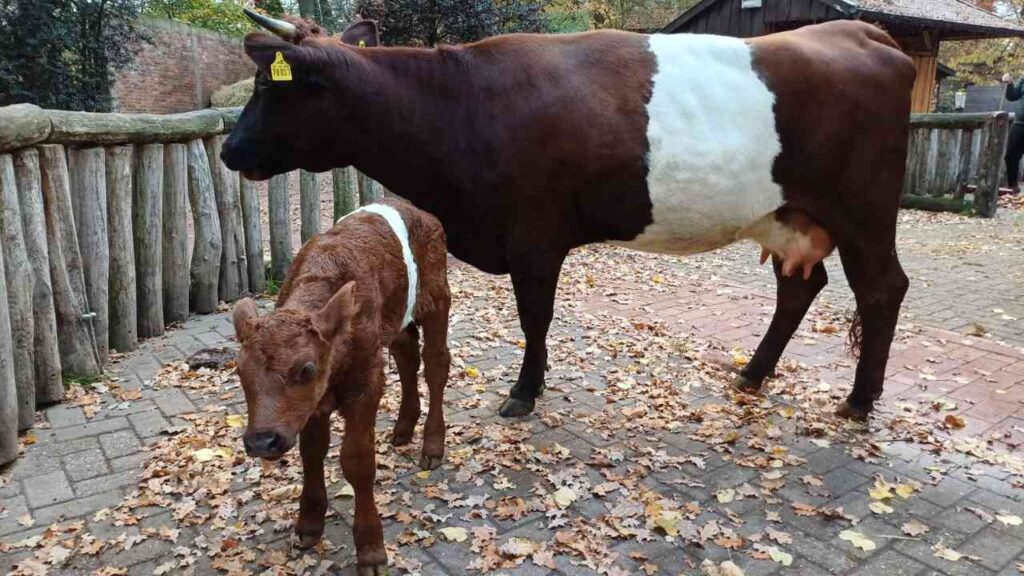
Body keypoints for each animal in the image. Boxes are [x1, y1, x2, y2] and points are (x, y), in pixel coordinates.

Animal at [222, 10, 916, 423]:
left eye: (265, 87)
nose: (229, 151)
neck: (460, 104)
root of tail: (861, 32)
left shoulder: (534, 235)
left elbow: (536, 317)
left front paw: (524, 391)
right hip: (787, 214)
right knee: (801, 287)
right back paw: (752, 373)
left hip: (864, 212)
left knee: (883, 289)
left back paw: (859, 401)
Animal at [232, 198, 451, 574]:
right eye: (240, 372)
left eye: (306, 368)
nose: (262, 441)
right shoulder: (313, 404)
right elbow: (312, 452)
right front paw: (308, 525)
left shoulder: (365, 384)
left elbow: (357, 461)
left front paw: (371, 550)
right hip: (397, 320)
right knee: (407, 357)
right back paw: (403, 428)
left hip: (438, 300)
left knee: (436, 365)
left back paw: (432, 446)